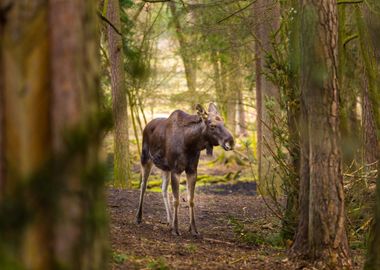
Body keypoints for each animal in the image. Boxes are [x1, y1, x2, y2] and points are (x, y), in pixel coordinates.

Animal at [135, 102, 233, 235]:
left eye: (223, 122)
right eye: (212, 125)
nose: (230, 142)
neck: (190, 143)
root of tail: (146, 126)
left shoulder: (192, 170)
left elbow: (190, 199)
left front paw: (193, 229)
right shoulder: (176, 170)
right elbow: (176, 200)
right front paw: (176, 229)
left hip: (165, 168)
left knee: (163, 189)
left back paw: (169, 221)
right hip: (145, 159)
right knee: (143, 186)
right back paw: (139, 217)